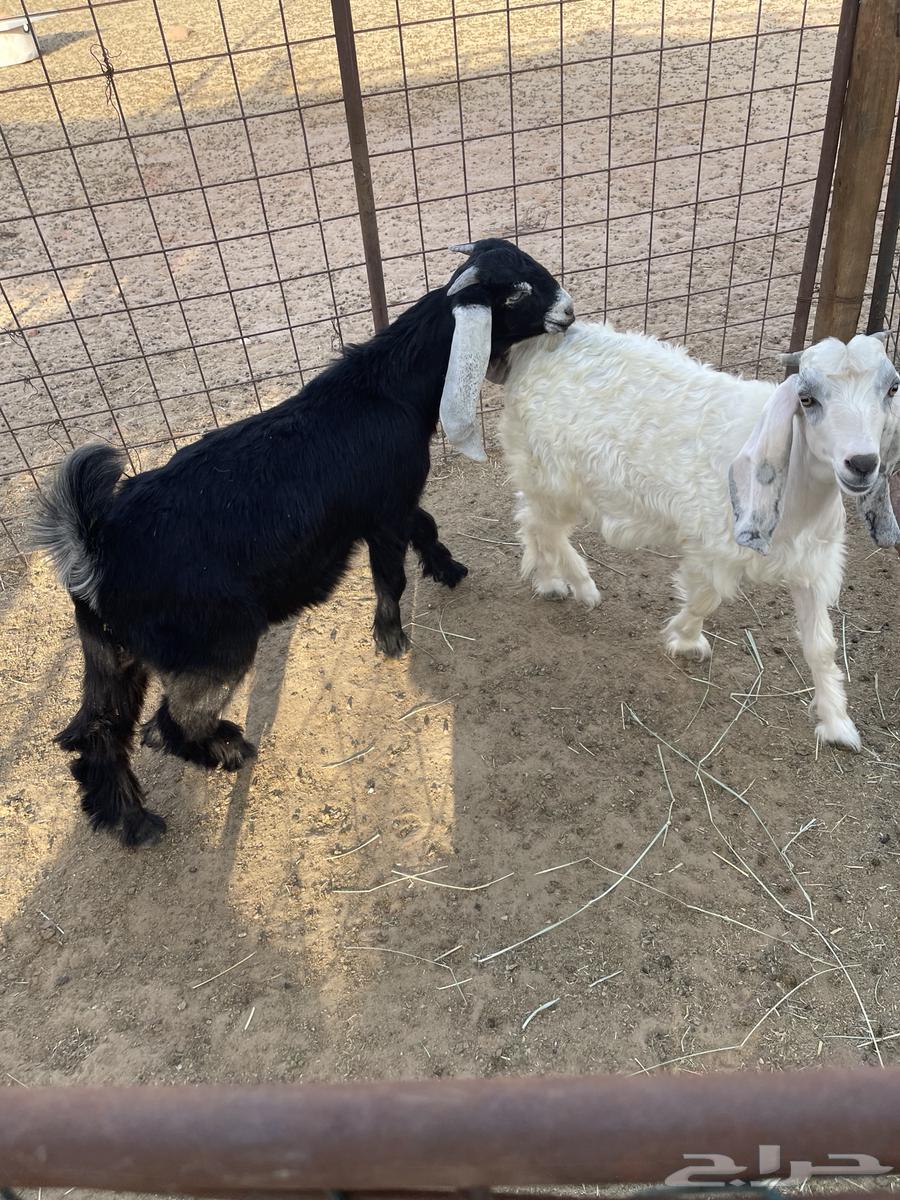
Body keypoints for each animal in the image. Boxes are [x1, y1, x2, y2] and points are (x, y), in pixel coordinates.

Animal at [35, 238, 574, 846]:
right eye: (517, 291)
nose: (569, 312)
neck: (388, 389)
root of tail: (94, 548)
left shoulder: (389, 500)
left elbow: (427, 526)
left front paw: (449, 569)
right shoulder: (384, 510)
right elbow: (391, 575)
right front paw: (391, 638)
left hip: (111, 655)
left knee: (99, 731)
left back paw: (131, 820)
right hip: (216, 642)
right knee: (169, 724)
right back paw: (225, 750)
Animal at [499, 324, 900, 751]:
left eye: (891, 388)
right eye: (806, 399)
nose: (862, 464)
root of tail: (537, 345)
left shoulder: (812, 565)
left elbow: (821, 647)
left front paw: (837, 723)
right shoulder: (714, 548)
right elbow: (706, 598)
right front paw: (686, 639)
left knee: (530, 520)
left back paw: (549, 580)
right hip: (552, 475)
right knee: (544, 526)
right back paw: (581, 585)